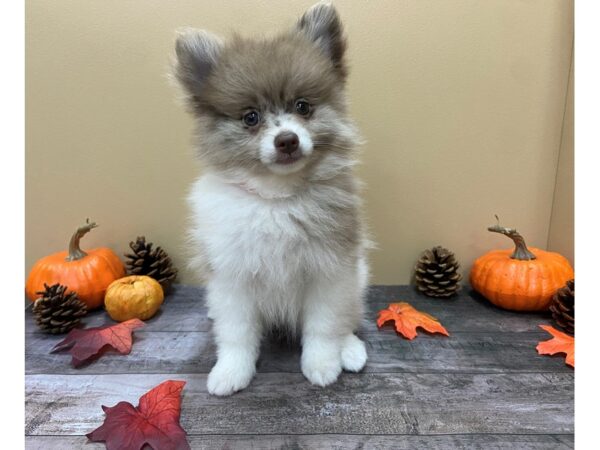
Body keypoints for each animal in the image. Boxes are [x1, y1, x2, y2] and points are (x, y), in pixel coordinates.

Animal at [173, 1, 368, 396]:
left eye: (303, 107)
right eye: (251, 117)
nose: (287, 140)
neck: (276, 199)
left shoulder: (330, 269)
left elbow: (324, 325)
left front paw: (322, 364)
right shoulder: (232, 277)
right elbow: (237, 334)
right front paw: (231, 371)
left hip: (357, 279)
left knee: (349, 317)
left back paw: (350, 349)